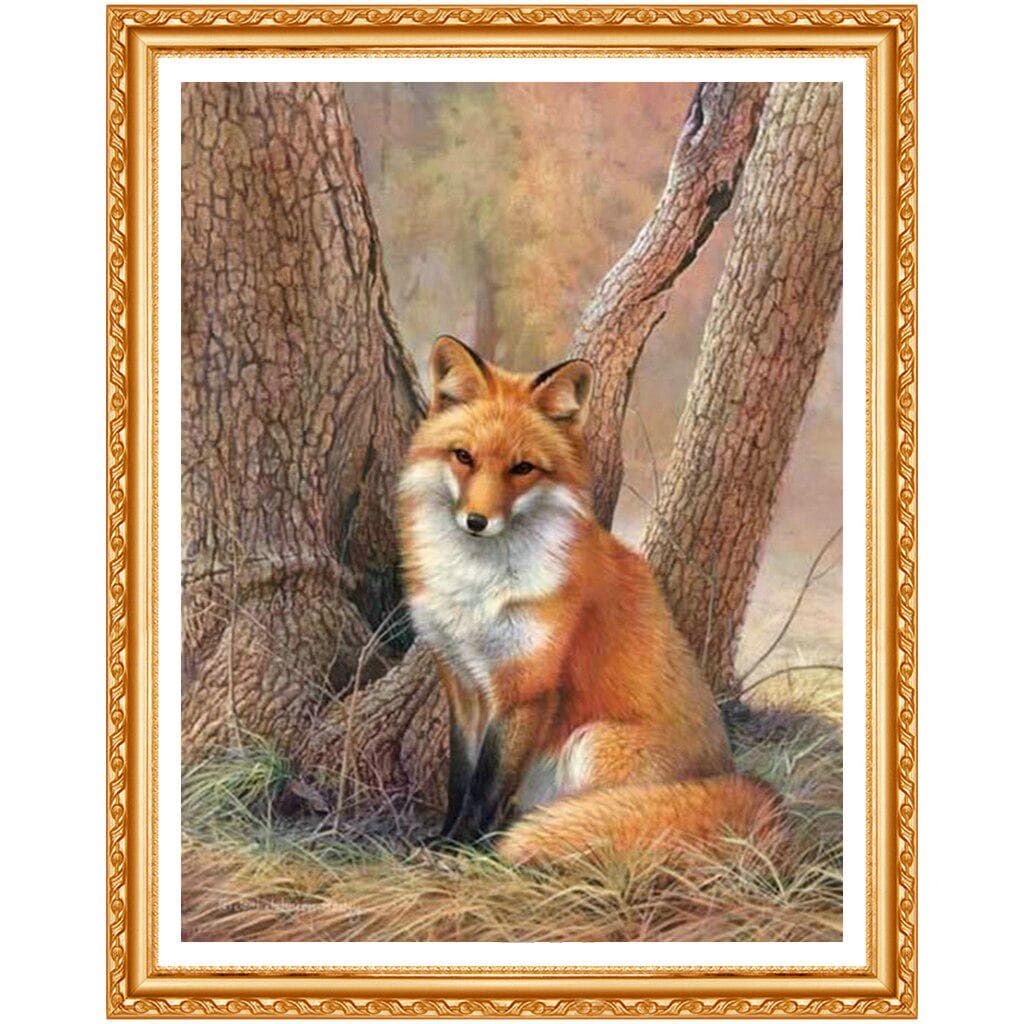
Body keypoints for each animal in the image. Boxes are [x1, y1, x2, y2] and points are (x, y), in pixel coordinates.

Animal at [398, 335, 782, 866]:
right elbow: (461, 778)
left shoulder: (526, 687)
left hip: (592, 743)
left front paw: (463, 849)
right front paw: (444, 837)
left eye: (522, 468)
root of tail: (730, 777)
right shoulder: (462, 680)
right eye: (463, 456)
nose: (476, 521)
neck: (477, 588)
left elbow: (487, 785)